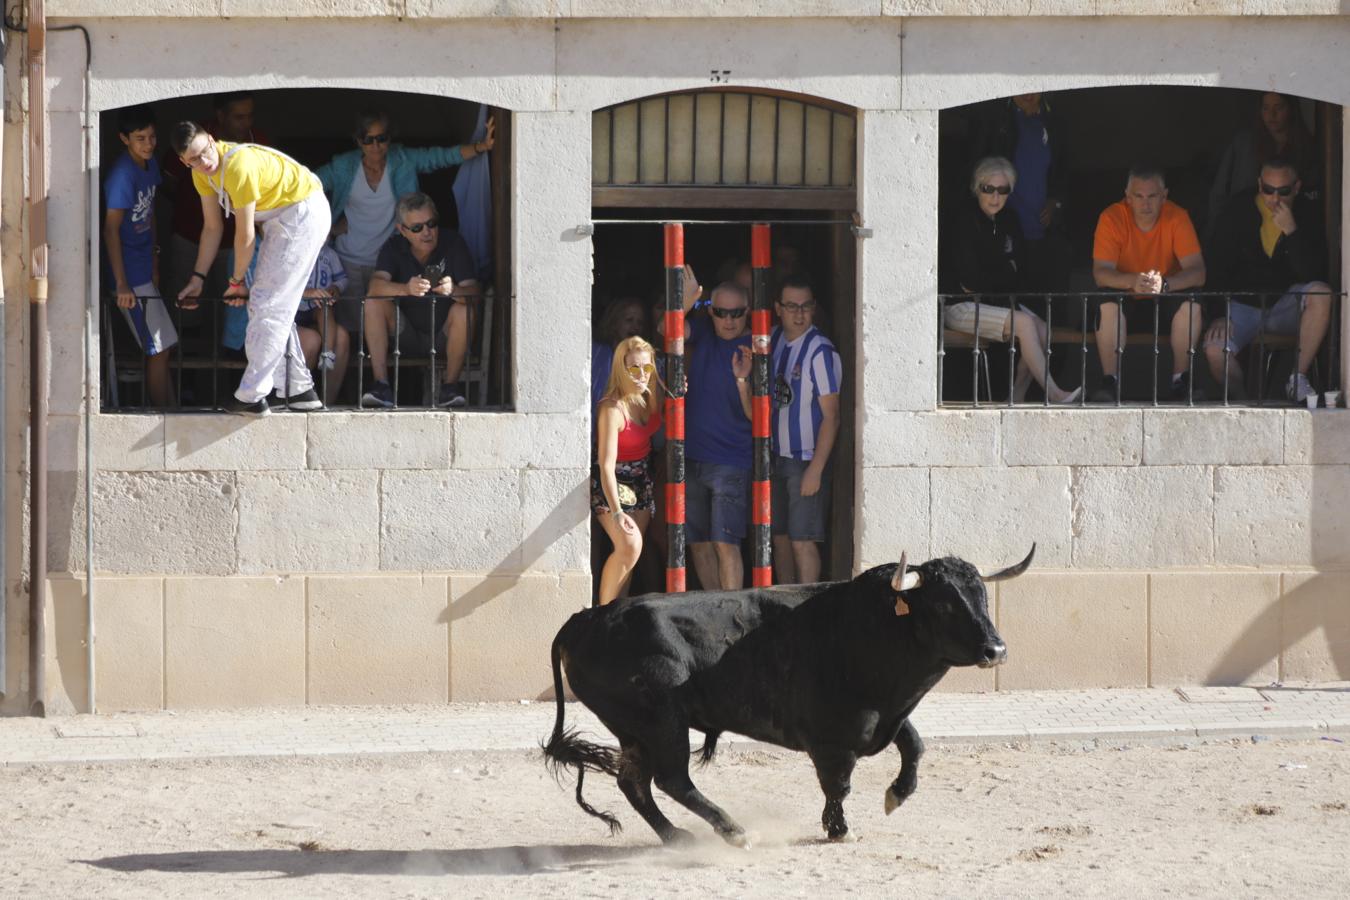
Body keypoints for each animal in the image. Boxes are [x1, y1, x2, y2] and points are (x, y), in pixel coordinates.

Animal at [540, 545, 1031, 847]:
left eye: (981, 597)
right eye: (945, 603)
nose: (996, 650)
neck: (872, 628)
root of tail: (587, 618)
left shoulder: (887, 716)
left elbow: (915, 746)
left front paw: (896, 795)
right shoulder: (833, 740)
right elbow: (838, 785)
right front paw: (839, 830)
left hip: (632, 728)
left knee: (634, 783)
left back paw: (677, 837)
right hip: (662, 723)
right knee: (671, 780)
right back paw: (733, 832)